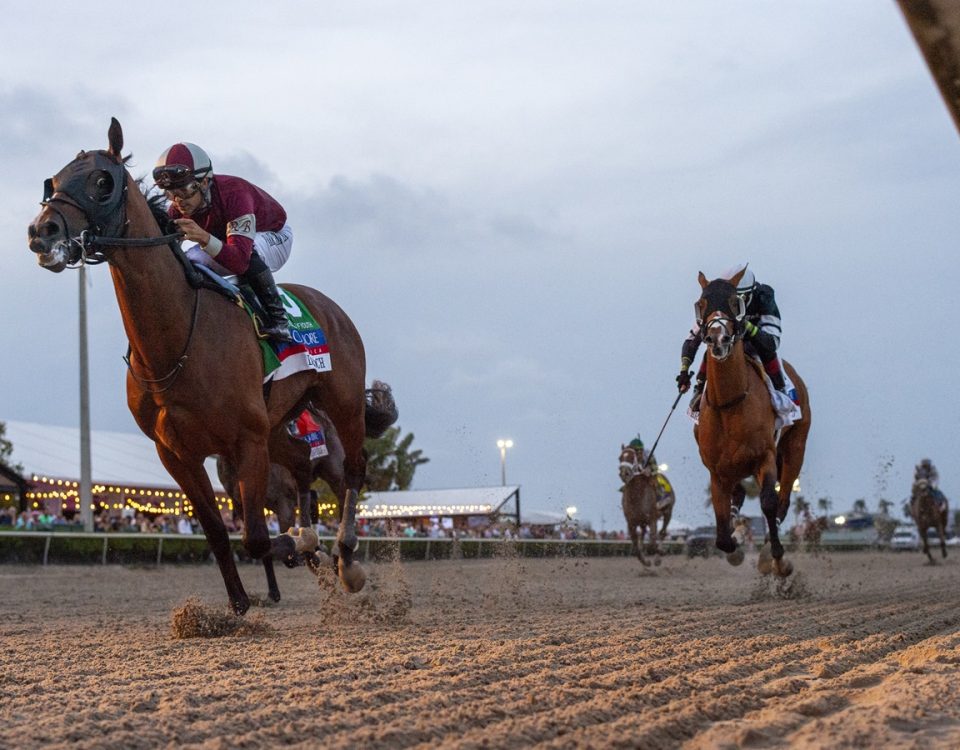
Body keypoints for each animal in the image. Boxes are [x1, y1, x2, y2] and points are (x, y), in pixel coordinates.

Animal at [26, 119, 396, 616]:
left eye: (102, 182)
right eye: (54, 180)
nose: (41, 231)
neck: (177, 342)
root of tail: (330, 306)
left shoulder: (248, 443)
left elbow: (257, 538)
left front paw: (304, 546)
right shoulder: (176, 454)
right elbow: (219, 534)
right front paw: (239, 607)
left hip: (343, 404)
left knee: (354, 473)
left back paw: (347, 559)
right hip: (284, 424)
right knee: (310, 486)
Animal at [688, 268, 808, 576]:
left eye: (734, 301)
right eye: (702, 303)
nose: (717, 338)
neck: (729, 404)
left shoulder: (765, 456)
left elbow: (769, 502)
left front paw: (775, 558)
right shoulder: (717, 471)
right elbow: (721, 533)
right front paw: (735, 546)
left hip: (795, 447)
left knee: (783, 499)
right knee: (740, 493)